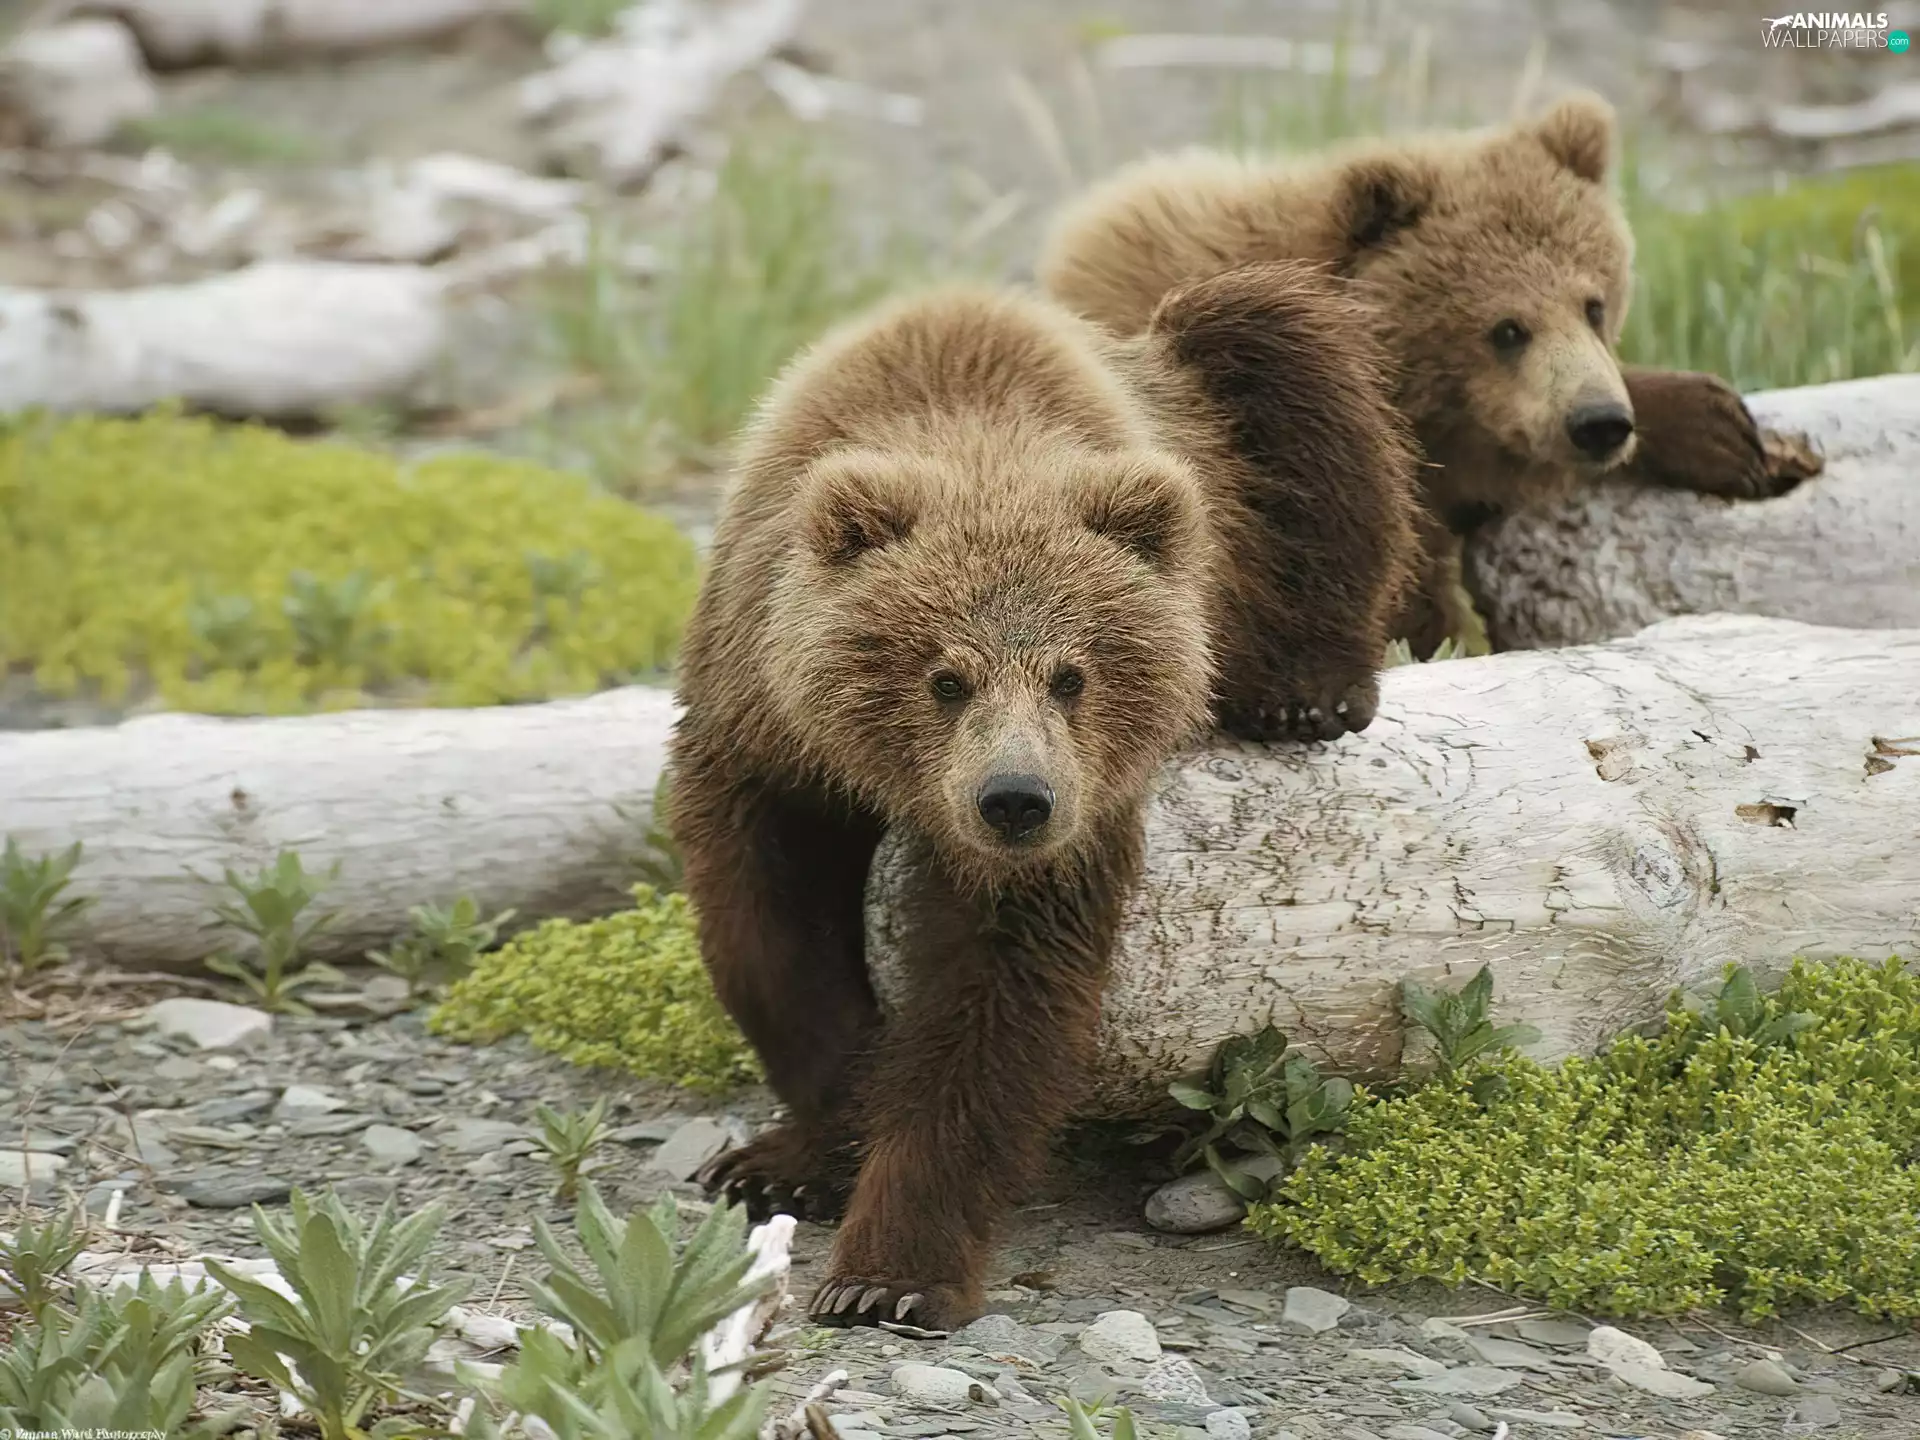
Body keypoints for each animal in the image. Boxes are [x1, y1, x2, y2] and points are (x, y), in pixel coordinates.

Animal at [666, 262, 1421, 1331]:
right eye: (945, 678)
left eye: (1072, 675)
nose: (1014, 799)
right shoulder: (759, 723)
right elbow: (769, 935)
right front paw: (796, 1149)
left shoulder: (1066, 826)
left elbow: (999, 997)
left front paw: (888, 1271)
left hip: (1213, 427)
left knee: (1289, 368)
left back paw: (1303, 688)